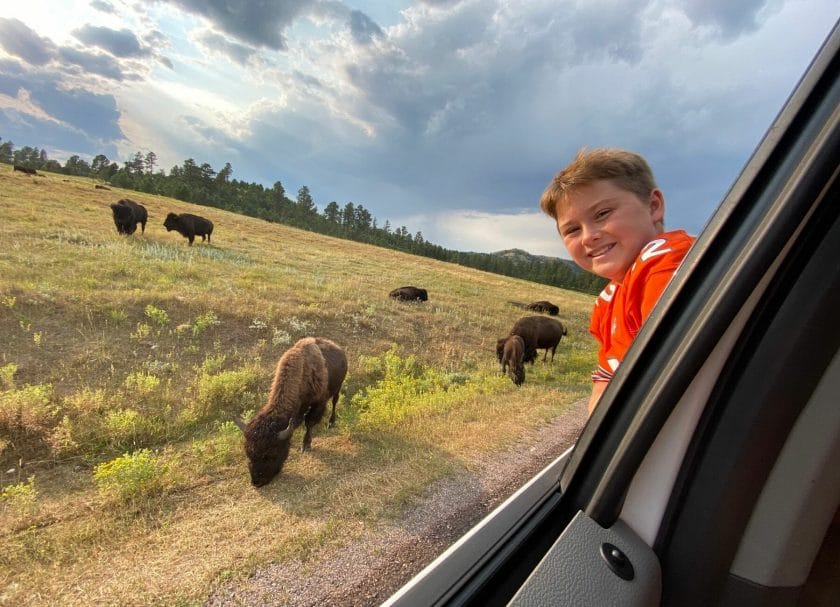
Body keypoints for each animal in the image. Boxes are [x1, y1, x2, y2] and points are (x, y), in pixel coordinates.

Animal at [233, 338, 348, 490]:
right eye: (248, 452)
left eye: (271, 454)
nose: (256, 482)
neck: (301, 373)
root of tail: (338, 348)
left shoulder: (318, 403)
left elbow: (309, 423)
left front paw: (305, 446)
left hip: (337, 388)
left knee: (335, 401)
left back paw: (331, 423)